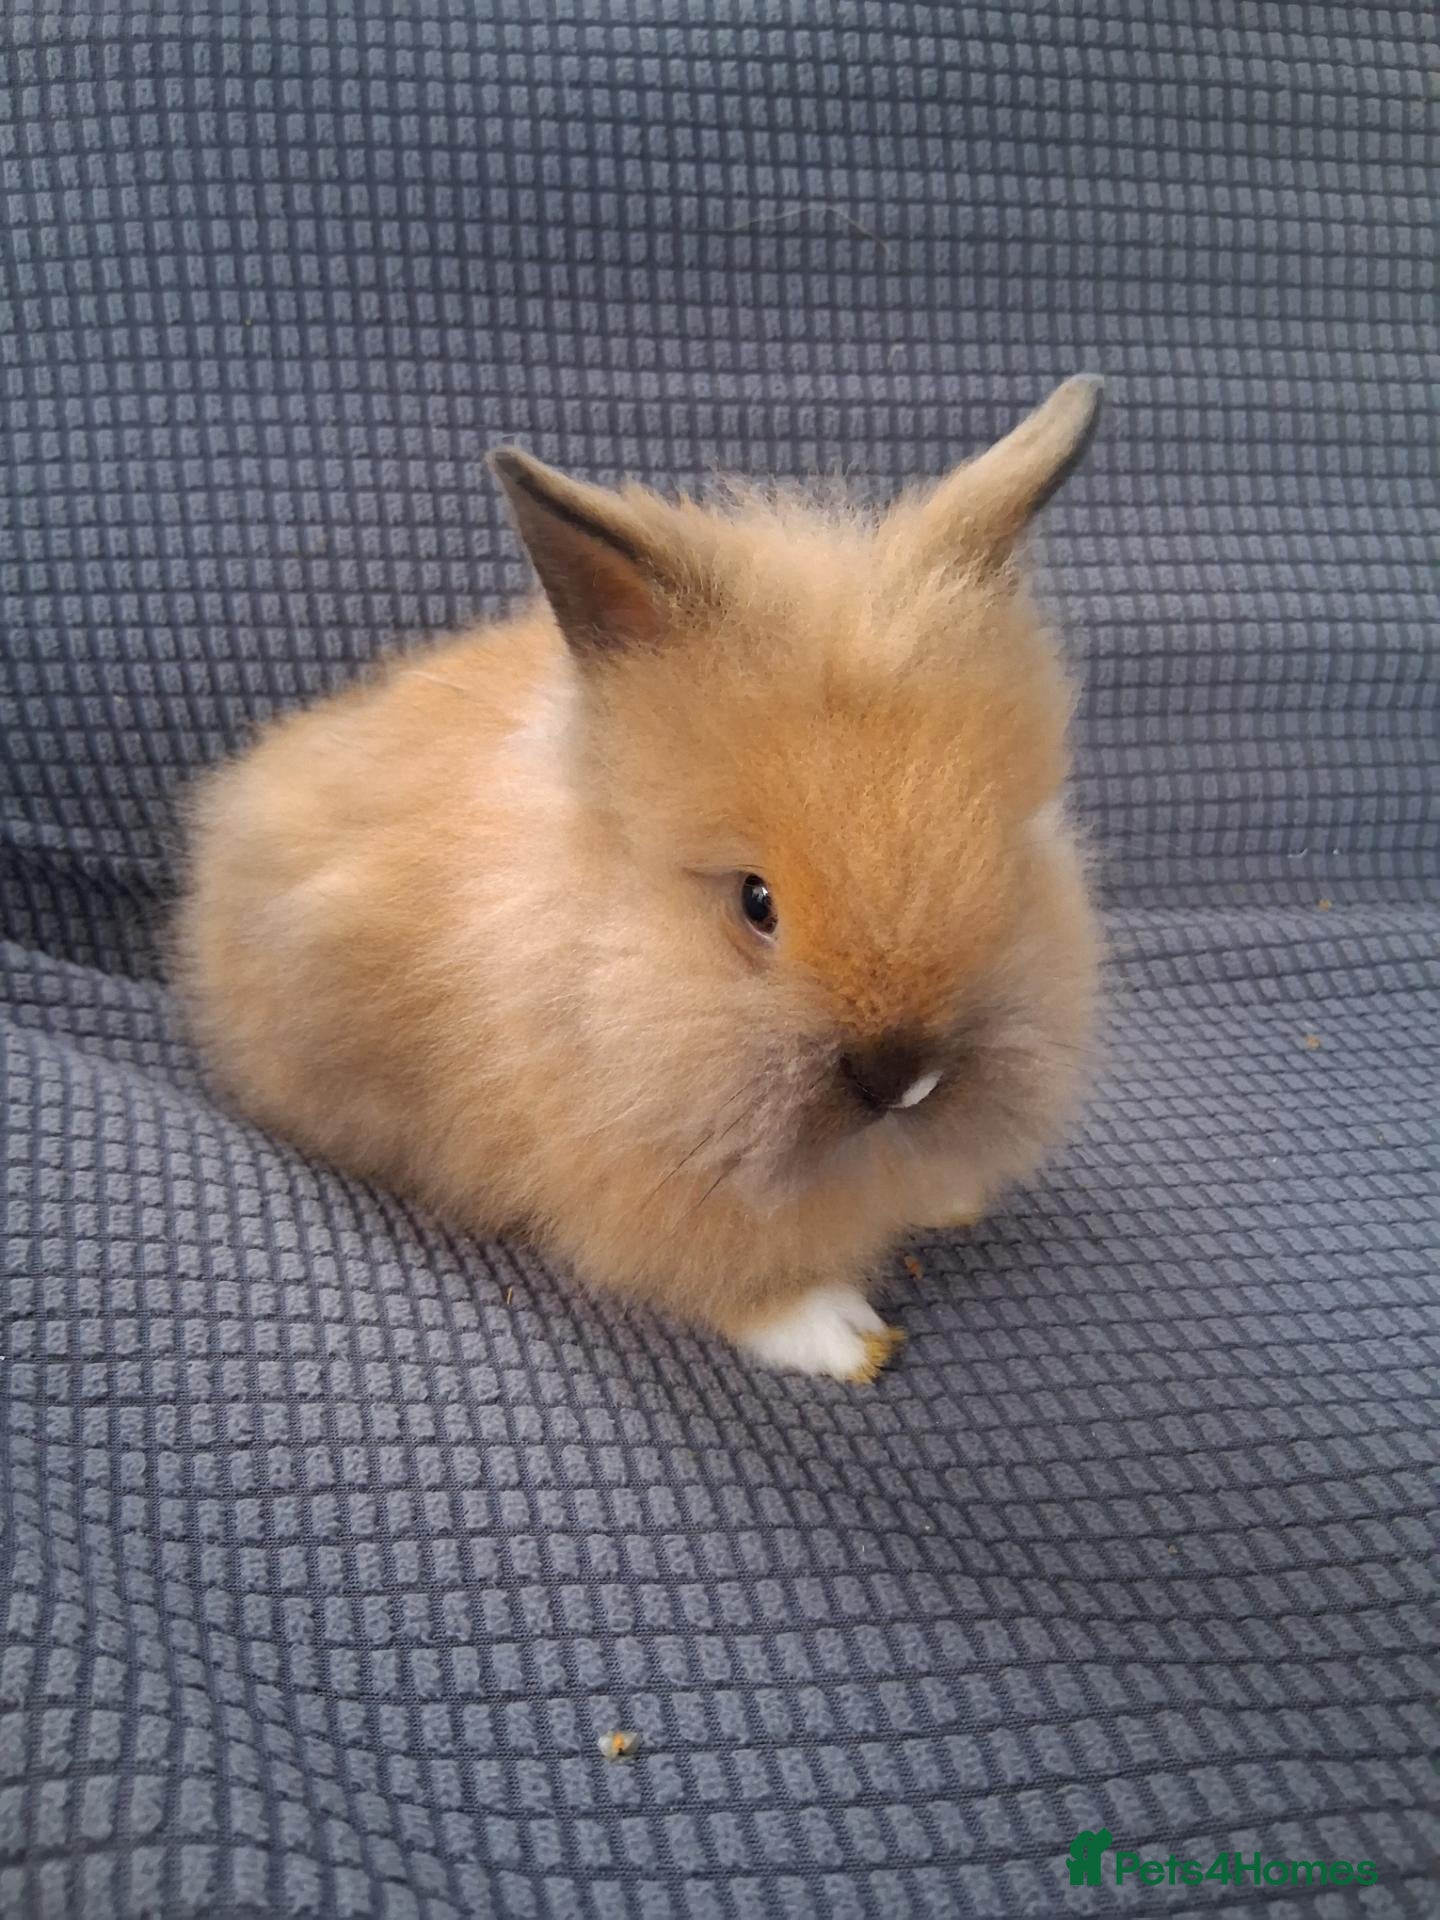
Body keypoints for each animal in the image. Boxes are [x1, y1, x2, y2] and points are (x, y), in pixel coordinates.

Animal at [176, 375, 1104, 1382]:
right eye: (756, 902)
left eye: (1006, 866)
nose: (903, 1079)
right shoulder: (632, 1180)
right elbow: (727, 1273)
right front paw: (840, 1335)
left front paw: (947, 1197)